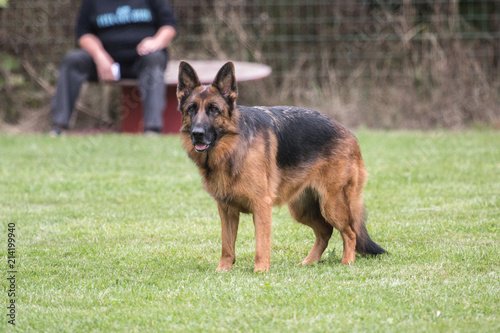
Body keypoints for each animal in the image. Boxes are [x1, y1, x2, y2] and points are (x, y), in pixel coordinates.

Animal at [178, 61, 384, 272]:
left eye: (214, 110)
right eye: (191, 109)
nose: (197, 134)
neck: (232, 149)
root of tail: (349, 133)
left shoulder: (261, 206)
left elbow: (261, 244)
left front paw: (260, 270)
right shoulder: (226, 209)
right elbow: (227, 245)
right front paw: (223, 269)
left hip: (331, 204)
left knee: (350, 232)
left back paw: (347, 262)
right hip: (302, 209)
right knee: (325, 231)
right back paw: (310, 261)